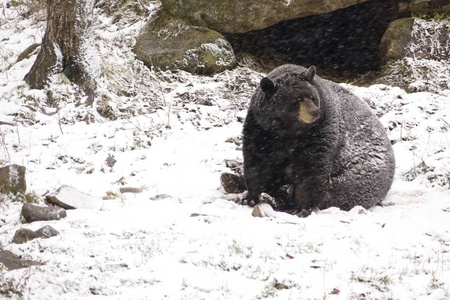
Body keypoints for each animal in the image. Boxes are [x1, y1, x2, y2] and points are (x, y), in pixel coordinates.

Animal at [243, 64, 394, 212]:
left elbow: (312, 165)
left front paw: (303, 206)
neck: (289, 130)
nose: (314, 111)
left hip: (363, 171)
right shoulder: (261, 128)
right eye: (296, 100)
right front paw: (251, 197)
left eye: (312, 97)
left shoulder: (319, 129)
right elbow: (257, 159)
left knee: (343, 190)